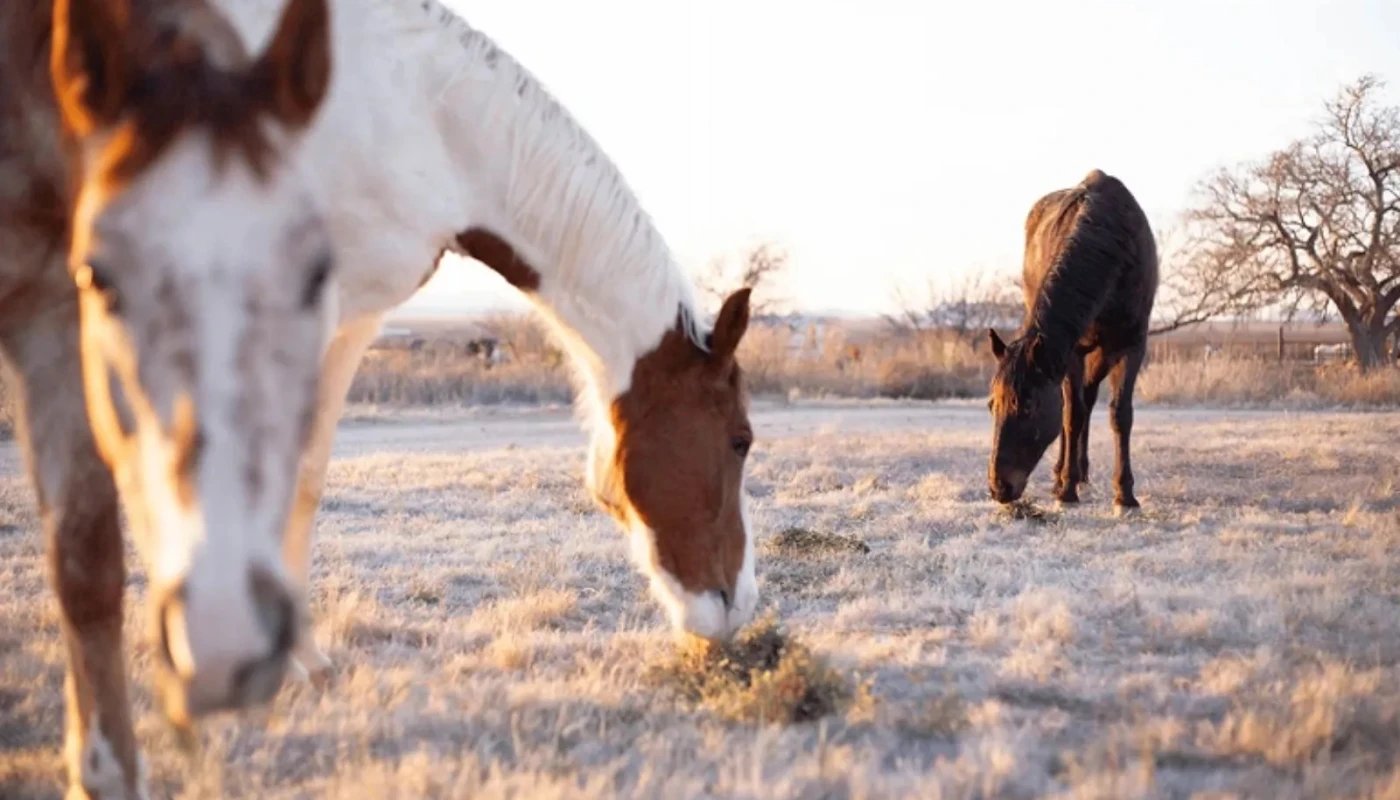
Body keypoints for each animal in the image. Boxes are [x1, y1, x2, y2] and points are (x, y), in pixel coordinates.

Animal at [2, 0, 336, 795]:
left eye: (319, 271)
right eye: (99, 276)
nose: (223, 631)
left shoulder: (49, 322)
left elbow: (85, 559)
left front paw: (106, 770)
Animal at [201, 0, 760, 675]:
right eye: (740, 440)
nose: (738, 606)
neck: (416, 115)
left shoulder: (354, 317)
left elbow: (305, 474)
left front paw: (304, 657)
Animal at [986, 169, 1159, 513]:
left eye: (1027, 406)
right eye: (991, 405)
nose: (999, 488)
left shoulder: (1131, 345)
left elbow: (1120, 414)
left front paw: (1125, 494)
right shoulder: (1072, 351)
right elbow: (1071, 414)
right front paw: (1066, 489)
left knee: (1089, 397)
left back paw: (1082, 472)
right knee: (1076, 405)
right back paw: (1063, 475)